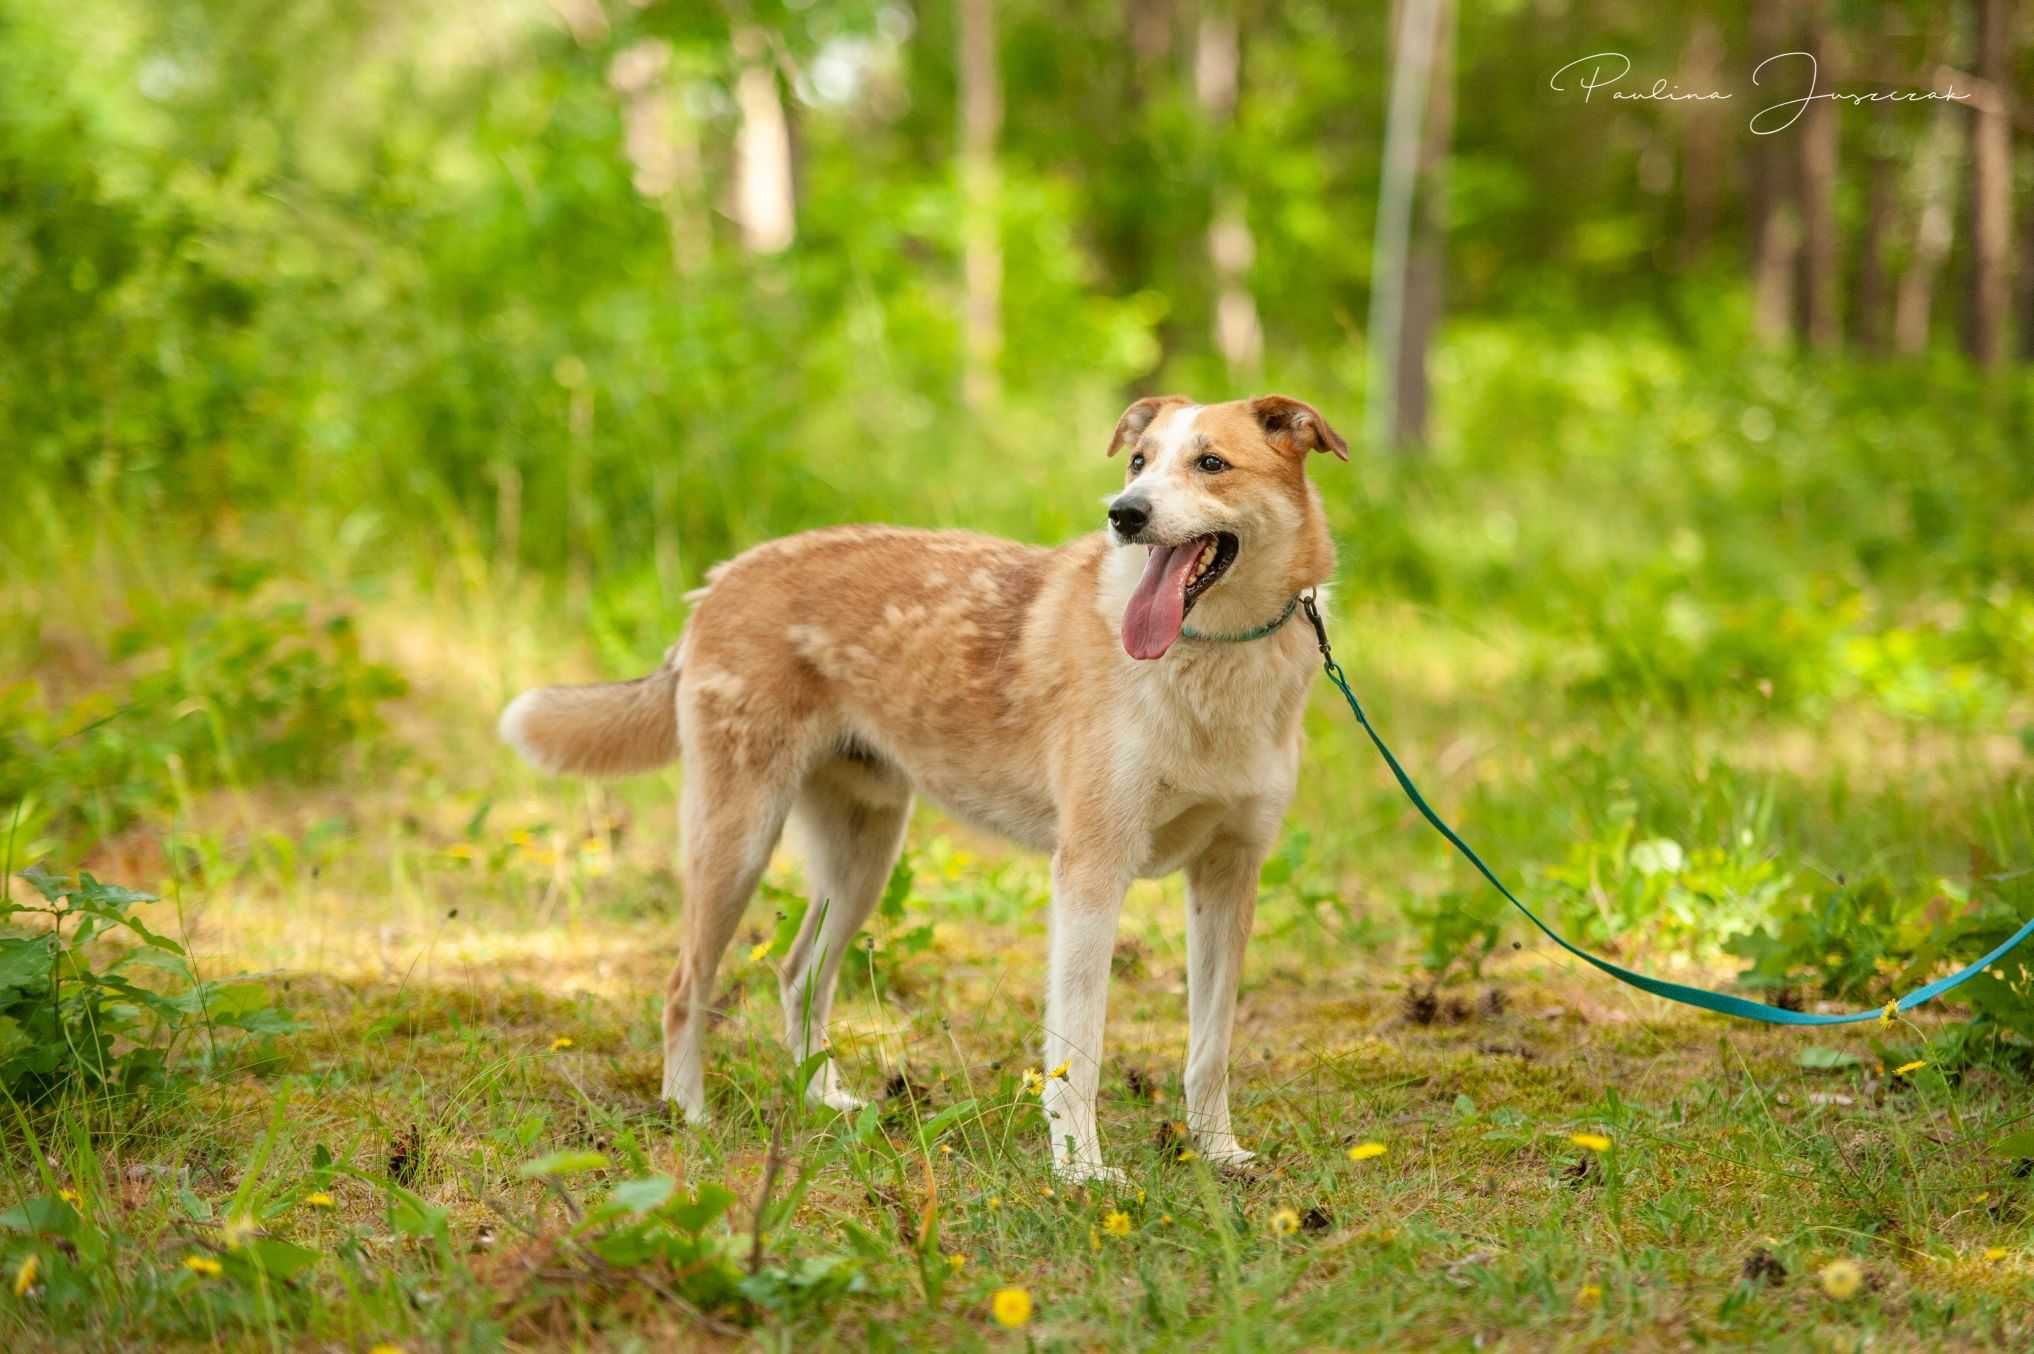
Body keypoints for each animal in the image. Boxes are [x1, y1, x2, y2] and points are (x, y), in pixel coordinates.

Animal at [500, 388, 1342, 1171]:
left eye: (1211, 463)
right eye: (1138, 462)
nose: (1123, 514)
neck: (1214, 656)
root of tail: (721, 580)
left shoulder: (1228, 877)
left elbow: (1210, 1049)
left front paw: (1219, 1154)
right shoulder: (1091, 873)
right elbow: (1079, 1055)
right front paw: (1080, 1173)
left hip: (862, 857)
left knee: (799, 975)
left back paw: (824, 1100)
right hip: (737, 841)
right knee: (685, 986)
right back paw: (688, 1114)